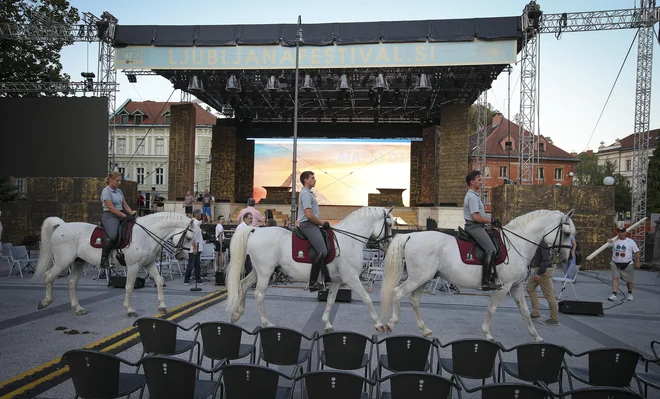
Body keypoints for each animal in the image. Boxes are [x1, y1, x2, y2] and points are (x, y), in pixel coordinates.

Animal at [33, 212, 199, 318]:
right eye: (189, 238)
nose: (182, 257)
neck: (146, 235)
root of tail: (62, 225)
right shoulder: (133, 266)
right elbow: (129, 287)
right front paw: (129, 309)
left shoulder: (149, 264)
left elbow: (159, 281)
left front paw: (162, 306)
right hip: (63, 262)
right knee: (48, 276)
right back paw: (45, 302)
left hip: (78, 262)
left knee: (72, 282)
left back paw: (78, 308)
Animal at [224, 206, 394, 332]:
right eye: (390, 224)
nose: (389, 245)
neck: (349, 240)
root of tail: (255, 230)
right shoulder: (351, 278)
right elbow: (367, 298)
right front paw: (379, 324)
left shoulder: (337, 281)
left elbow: (331, 301)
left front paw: (327, 324)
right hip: (265, 272)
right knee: (259, 294)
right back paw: (266, 322)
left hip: (258, 271)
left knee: (244, 285)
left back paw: (237, 315)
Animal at [378, 209, 576, 340]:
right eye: (566, 233)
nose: (565, 257)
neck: (517, 244)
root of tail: (410, 236)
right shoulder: (504, 287)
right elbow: (492, 309)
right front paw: (487, 333)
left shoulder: (516, 286)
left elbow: (525, 311)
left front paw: (536, 336)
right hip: (418, 278)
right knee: (397, 293)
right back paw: (391, 323)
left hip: (423, 279)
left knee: (414, 300)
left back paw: (425, 329)